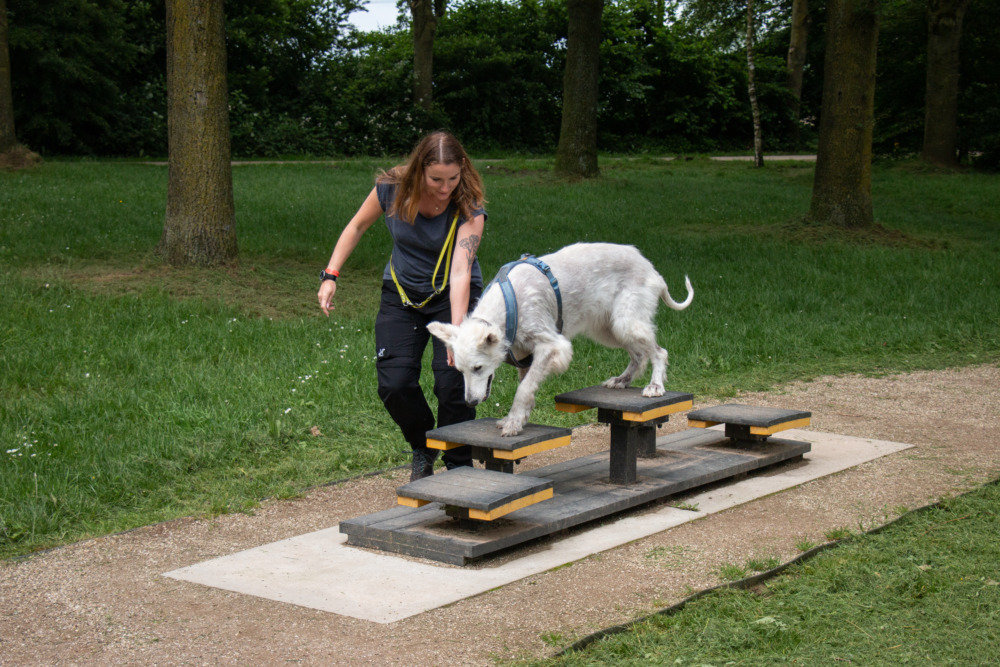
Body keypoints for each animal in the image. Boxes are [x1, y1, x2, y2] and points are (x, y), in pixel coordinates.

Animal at [426, 243, 692, 436]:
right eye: (460, 371)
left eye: (478, 368)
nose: (470, 403)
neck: (509, 307)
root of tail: (650, 268)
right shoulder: (526, 356)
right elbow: (527, 386)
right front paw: (518, 418)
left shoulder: (552, 346)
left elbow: (523, 389)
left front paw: (513, 422)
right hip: (610, 328)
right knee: (638, 355)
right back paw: (622, 380)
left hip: (626, 321)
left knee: (659, 352)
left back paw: (655, 386)